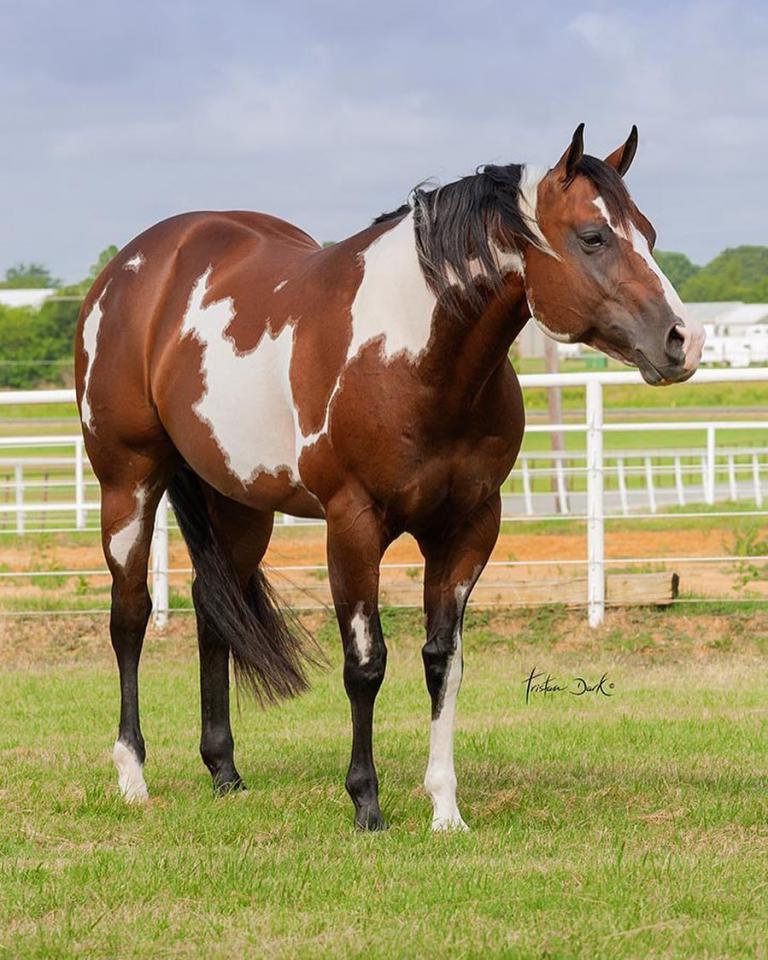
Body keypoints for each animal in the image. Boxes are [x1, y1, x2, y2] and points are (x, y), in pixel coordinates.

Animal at [75, 124, 704, 830]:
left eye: (648, 233)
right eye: (594, 236)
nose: (684, 340)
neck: (415, 358)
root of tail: (134, 266)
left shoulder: (468, 528)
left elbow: (443, 662)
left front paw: (445, 809)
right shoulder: (353, 525)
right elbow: (366, 665)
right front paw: (366, 803)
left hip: (238, 502)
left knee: (215, 607)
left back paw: (225, 772)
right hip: (128, 482)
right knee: (130, 615)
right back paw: (132, 776)